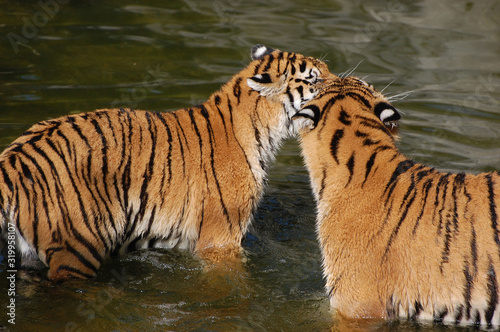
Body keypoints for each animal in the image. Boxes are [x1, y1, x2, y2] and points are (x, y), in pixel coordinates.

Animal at [0, 45, 334, 282]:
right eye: (314, 78)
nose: (341, 83)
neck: (263, 128)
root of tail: (14, 158)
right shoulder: (221, 239)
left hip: (31, 255)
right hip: (77, 248)